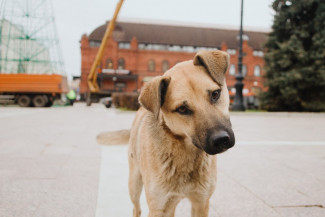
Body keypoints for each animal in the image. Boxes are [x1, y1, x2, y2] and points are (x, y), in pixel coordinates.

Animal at [128, 50, 234, 216]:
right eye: (182, 109)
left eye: (215, 94)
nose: (221, 139)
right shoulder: (158, 207)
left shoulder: (201, 202)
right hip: (134, 184)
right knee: (136, 208)